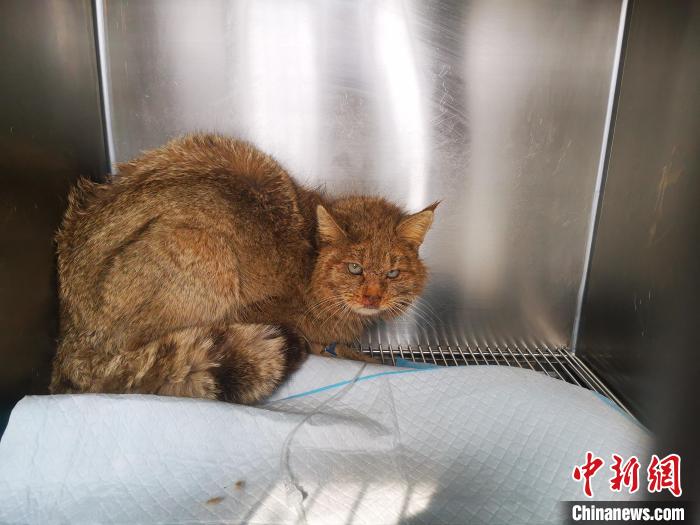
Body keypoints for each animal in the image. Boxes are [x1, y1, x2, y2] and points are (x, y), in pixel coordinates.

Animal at [50, 134, 437, 404]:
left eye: (393, 273)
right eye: (355, 268)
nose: (373, 298)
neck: (310, 264)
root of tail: (69, 335)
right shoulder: (259, 310)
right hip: (203, 248)